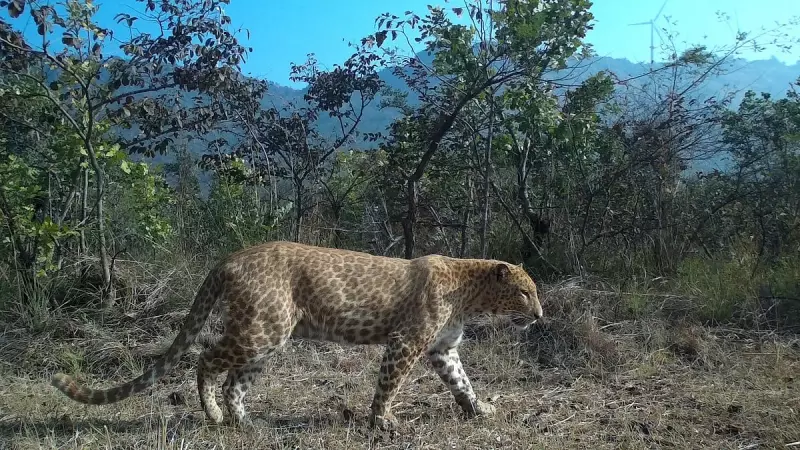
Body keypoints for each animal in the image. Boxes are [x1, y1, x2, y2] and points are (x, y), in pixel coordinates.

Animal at [51, 241, 543, 431]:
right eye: (524, 292)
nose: (539, 315)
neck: (470, 294)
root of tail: (230, 258)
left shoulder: (443, 349)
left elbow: (462, 383)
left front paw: (479, 410)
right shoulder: (405, 343)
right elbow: (389, 385)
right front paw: (382, 421)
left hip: (267, 340)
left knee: (235, 383)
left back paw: (245, 422)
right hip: (260, 331)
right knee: (206, 359)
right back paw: (213, 414)